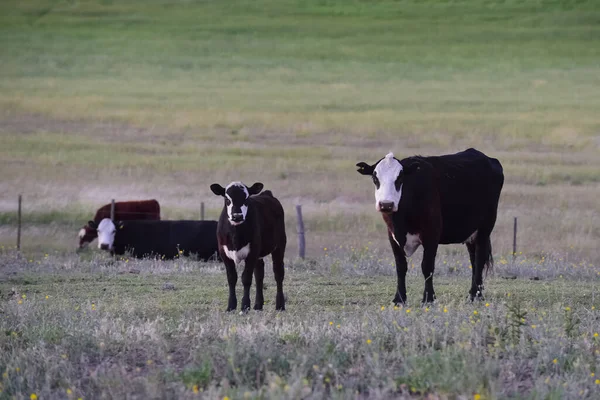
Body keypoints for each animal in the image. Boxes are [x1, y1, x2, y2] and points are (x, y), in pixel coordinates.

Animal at [210, 181, 288, 312]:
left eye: (246, 199)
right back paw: (258, 305)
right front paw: (231, 306)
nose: (237, 216)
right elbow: (232, 278)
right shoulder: (224, 253)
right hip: (259, 255)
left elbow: (246, 279)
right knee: (259, 275)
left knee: (278, 273)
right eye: (227, 199)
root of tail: (267, 194)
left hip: (279, 246)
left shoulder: (252, 253)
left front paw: (245, 306)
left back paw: (280, 305)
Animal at [358, 148, 504, 304]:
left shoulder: (432, 234)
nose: (386, 204)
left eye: (400, 178)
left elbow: (427, 266)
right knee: (474, 260)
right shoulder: (393, 236)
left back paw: (476, 295)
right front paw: (399, 298)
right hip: (471, 233)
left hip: (485, 229)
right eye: (375, 178)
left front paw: (428, 298)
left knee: (479, 259)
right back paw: (474, 293)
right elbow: (400, 266)